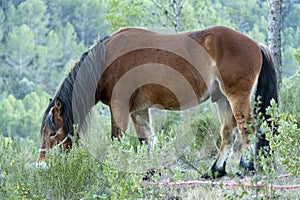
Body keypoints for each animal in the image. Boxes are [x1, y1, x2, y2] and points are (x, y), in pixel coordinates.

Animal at [38, 26, 278, 178]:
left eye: (53, 133)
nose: (41, 165)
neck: (106, 60)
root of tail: (255, 44)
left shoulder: (119, 108)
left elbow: (117, 139)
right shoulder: (138, 110)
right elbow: (148, 140)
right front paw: (150, 172)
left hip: (236, 96)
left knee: (247, 127)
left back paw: (246, 167)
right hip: (222, 100)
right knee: (229, 132)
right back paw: (215, 171)